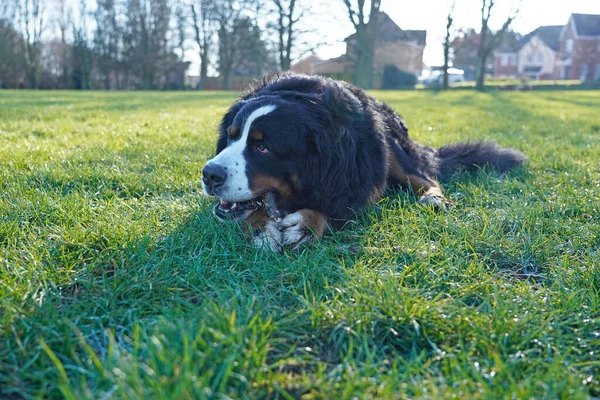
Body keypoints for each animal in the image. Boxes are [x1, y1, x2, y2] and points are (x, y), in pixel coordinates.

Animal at [202, 73, 524, 252]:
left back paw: (433, 198)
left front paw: (307, 224)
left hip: (389, 143)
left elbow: (333, 207)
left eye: (263, 147)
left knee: (425, 177)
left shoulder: (353, 178)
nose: (209, 174)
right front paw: (261, 227)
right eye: (231, 137)